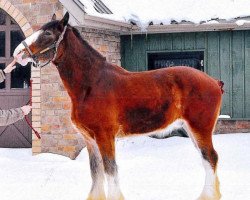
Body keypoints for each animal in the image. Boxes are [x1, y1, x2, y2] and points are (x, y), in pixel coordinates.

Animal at [14, 12, 223, 200]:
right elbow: (96, 173)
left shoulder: (105, 136)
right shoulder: (90, 139)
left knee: (211, 158)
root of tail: (214, 82)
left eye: (48, 33)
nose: (18, 54)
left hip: (200, 129)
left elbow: (110, 171)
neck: (91, 83)